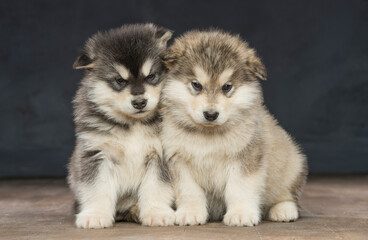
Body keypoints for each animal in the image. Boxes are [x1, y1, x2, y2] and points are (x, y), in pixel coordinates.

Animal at [68, 23, 175, 229]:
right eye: (119, 80)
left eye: (151, 76)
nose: (140, 102)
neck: (133, 124)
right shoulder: (97, 154)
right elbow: (97, 188)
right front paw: (95, 215)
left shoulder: (160, 155)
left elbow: (156, 187)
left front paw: (157, 213)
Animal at [161, 30, 308, 227]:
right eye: (196, 85)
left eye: (227, 87)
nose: (211, 114)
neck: (208, 134)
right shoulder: (178, 162)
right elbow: (189, 191)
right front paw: (190, 212)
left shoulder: (245, 158)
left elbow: (239, 189)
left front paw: (241, 214)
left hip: (292, 166)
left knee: (288, 196)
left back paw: (283, 210)